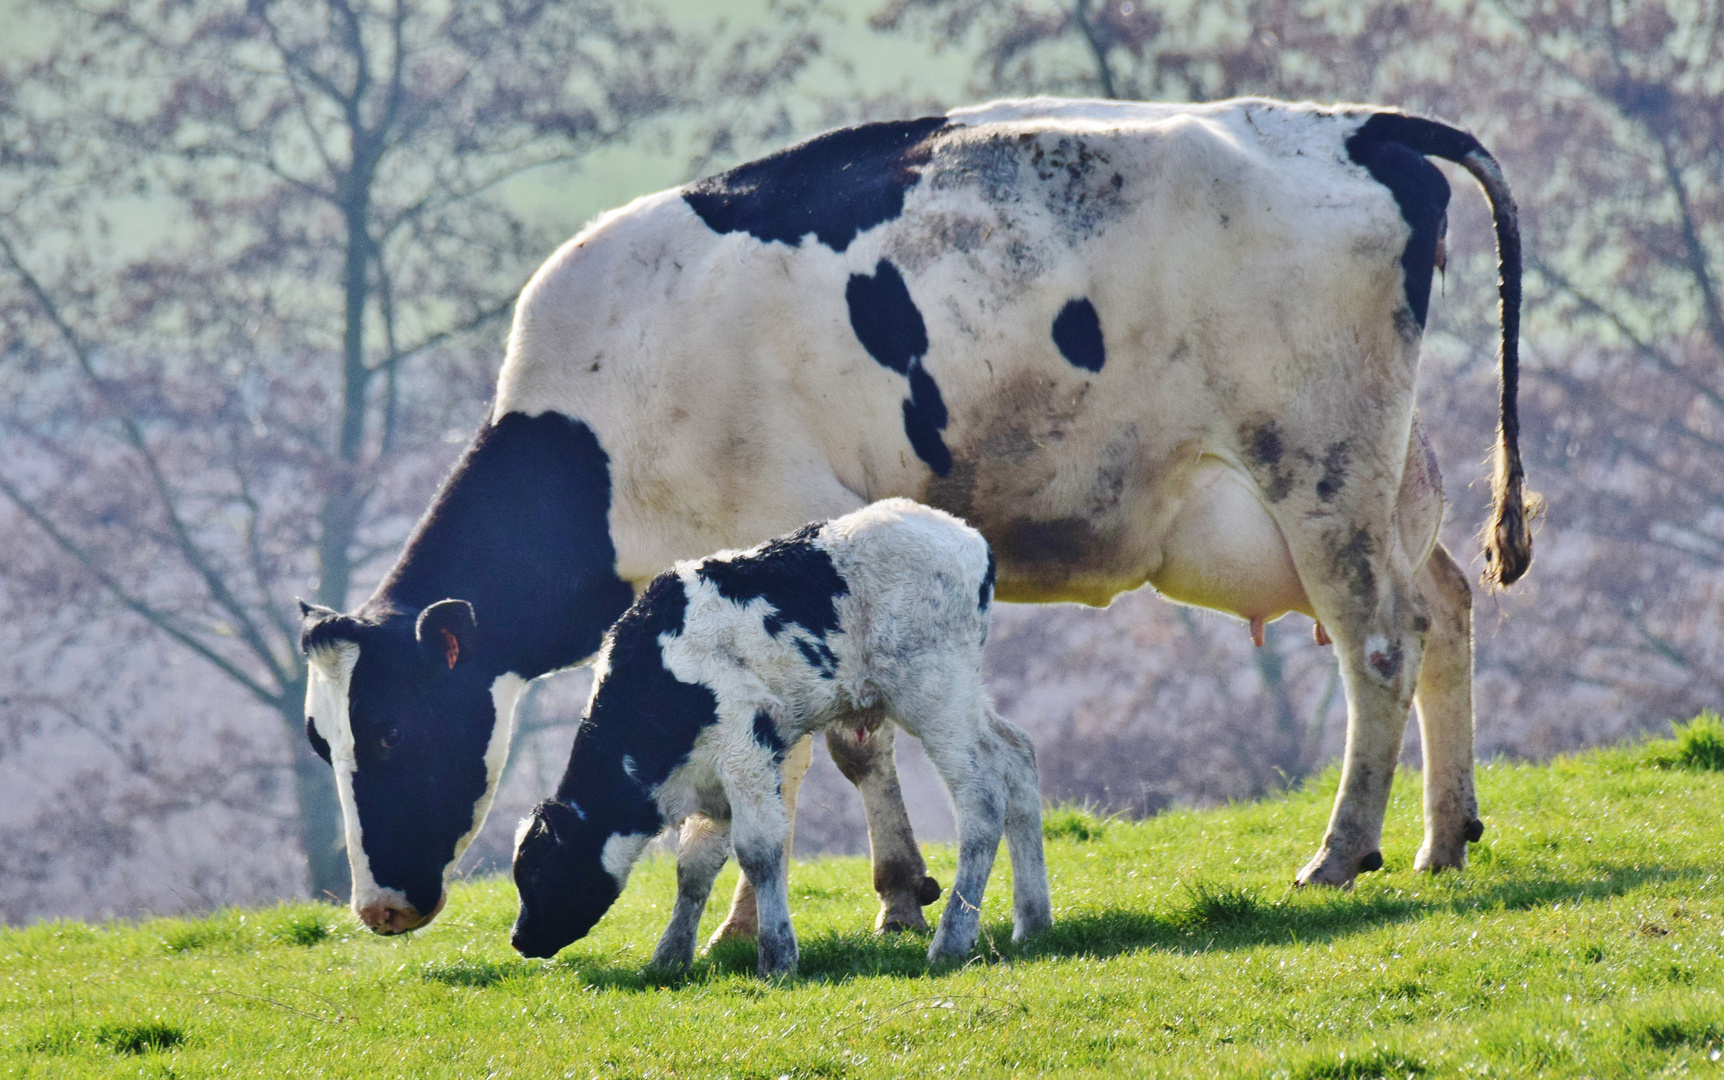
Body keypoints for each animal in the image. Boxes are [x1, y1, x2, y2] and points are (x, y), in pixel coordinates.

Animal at [506, 500, 1048, 973]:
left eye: (536, 870)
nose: (519, 938)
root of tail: (963, 533)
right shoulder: (708, 785)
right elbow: (694, 868)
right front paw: (669, 958)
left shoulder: (746, 748)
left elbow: (760, 851)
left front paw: (777, 958)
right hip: (964, 697)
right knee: (1018, 755)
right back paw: (1033, 922)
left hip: (935, 695)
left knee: (982, 796)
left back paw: (953, 939)